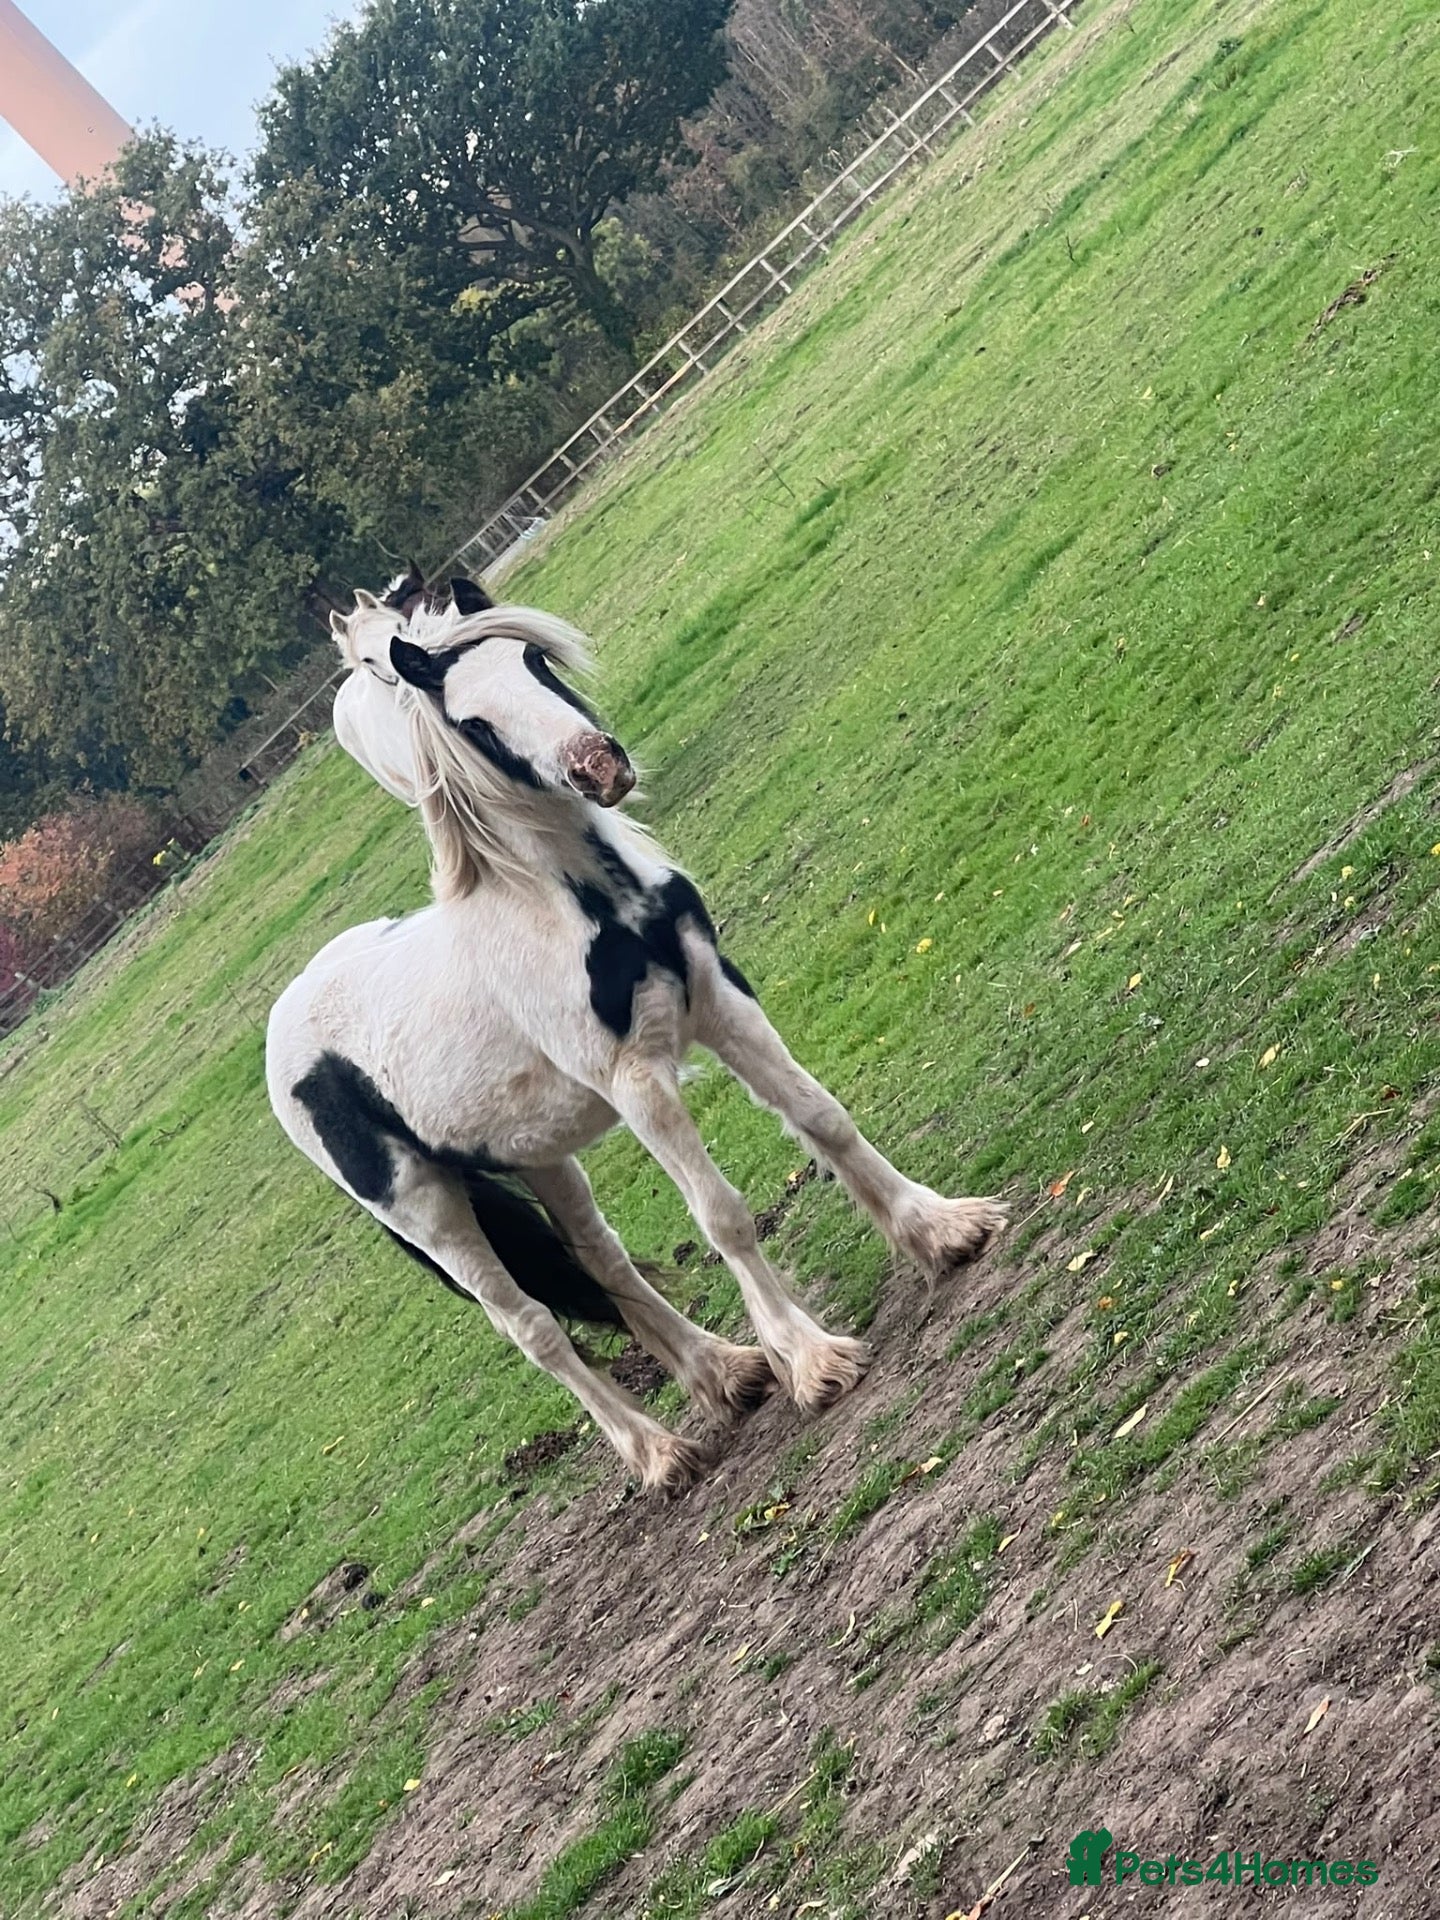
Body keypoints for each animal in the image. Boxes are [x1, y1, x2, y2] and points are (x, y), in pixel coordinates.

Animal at [268, 595, 1007, 1491]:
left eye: (534, 663)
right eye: (473, 723)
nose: (597, 764)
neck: (585, 909)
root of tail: (284, 1026)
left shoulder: (721, 1001)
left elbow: (823, 1119)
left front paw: (942, 1230)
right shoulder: (635, 1082)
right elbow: (723, 1217)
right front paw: (812, 1362)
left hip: (539, 1156)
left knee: (603, 1261)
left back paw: (726, 1373)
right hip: (429, 1208)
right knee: (533, 1328)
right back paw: (659, 1452)